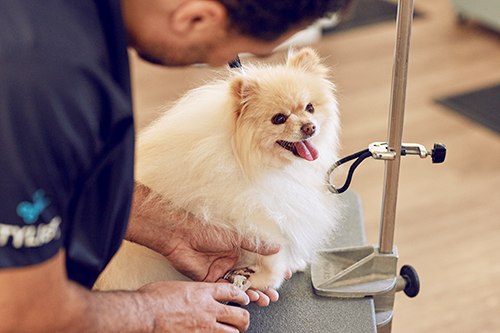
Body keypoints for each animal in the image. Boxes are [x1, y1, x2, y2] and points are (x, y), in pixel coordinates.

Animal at [94, 46, 340, 290]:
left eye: (310, 108)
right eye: (279, 119)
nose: (309, 127)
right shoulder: (256, 216)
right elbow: (271, 255)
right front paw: (265, 279)